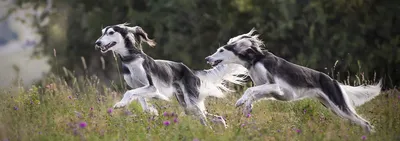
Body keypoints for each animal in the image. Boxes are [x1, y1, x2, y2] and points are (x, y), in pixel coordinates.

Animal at [95, 23, 248, 127]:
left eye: (111, 32)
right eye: (102, 33)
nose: (97, 43)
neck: (131, 59)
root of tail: (191, 71)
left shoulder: (151, 87)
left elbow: (129, 93)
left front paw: (120, 104)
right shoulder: (141, 88)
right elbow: (140, 99)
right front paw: (151, 111)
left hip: (191, 102)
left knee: (205, 119)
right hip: (186, 105)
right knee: (216, 117)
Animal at [206, 28, 382, 132]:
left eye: (221, 50)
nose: (207, 58)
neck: (256, 59)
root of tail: (333, 81)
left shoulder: (275, 86)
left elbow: (250, 90)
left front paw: (240, 101)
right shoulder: (267, 89)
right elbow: (254, 94)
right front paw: (247, 107)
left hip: (339, 106)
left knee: (366, 123)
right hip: (333, 108)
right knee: (363, 124)